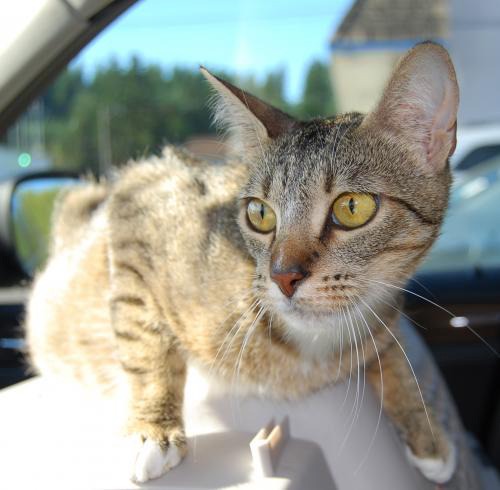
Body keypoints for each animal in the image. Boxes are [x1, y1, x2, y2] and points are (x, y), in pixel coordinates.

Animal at [25, 41, 458, 482]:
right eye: (259, 213)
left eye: (352, 207)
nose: (283, 276)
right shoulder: (137, 198)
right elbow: (145, 341)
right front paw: (153, 429)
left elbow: (391, 351)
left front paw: (426, 431)